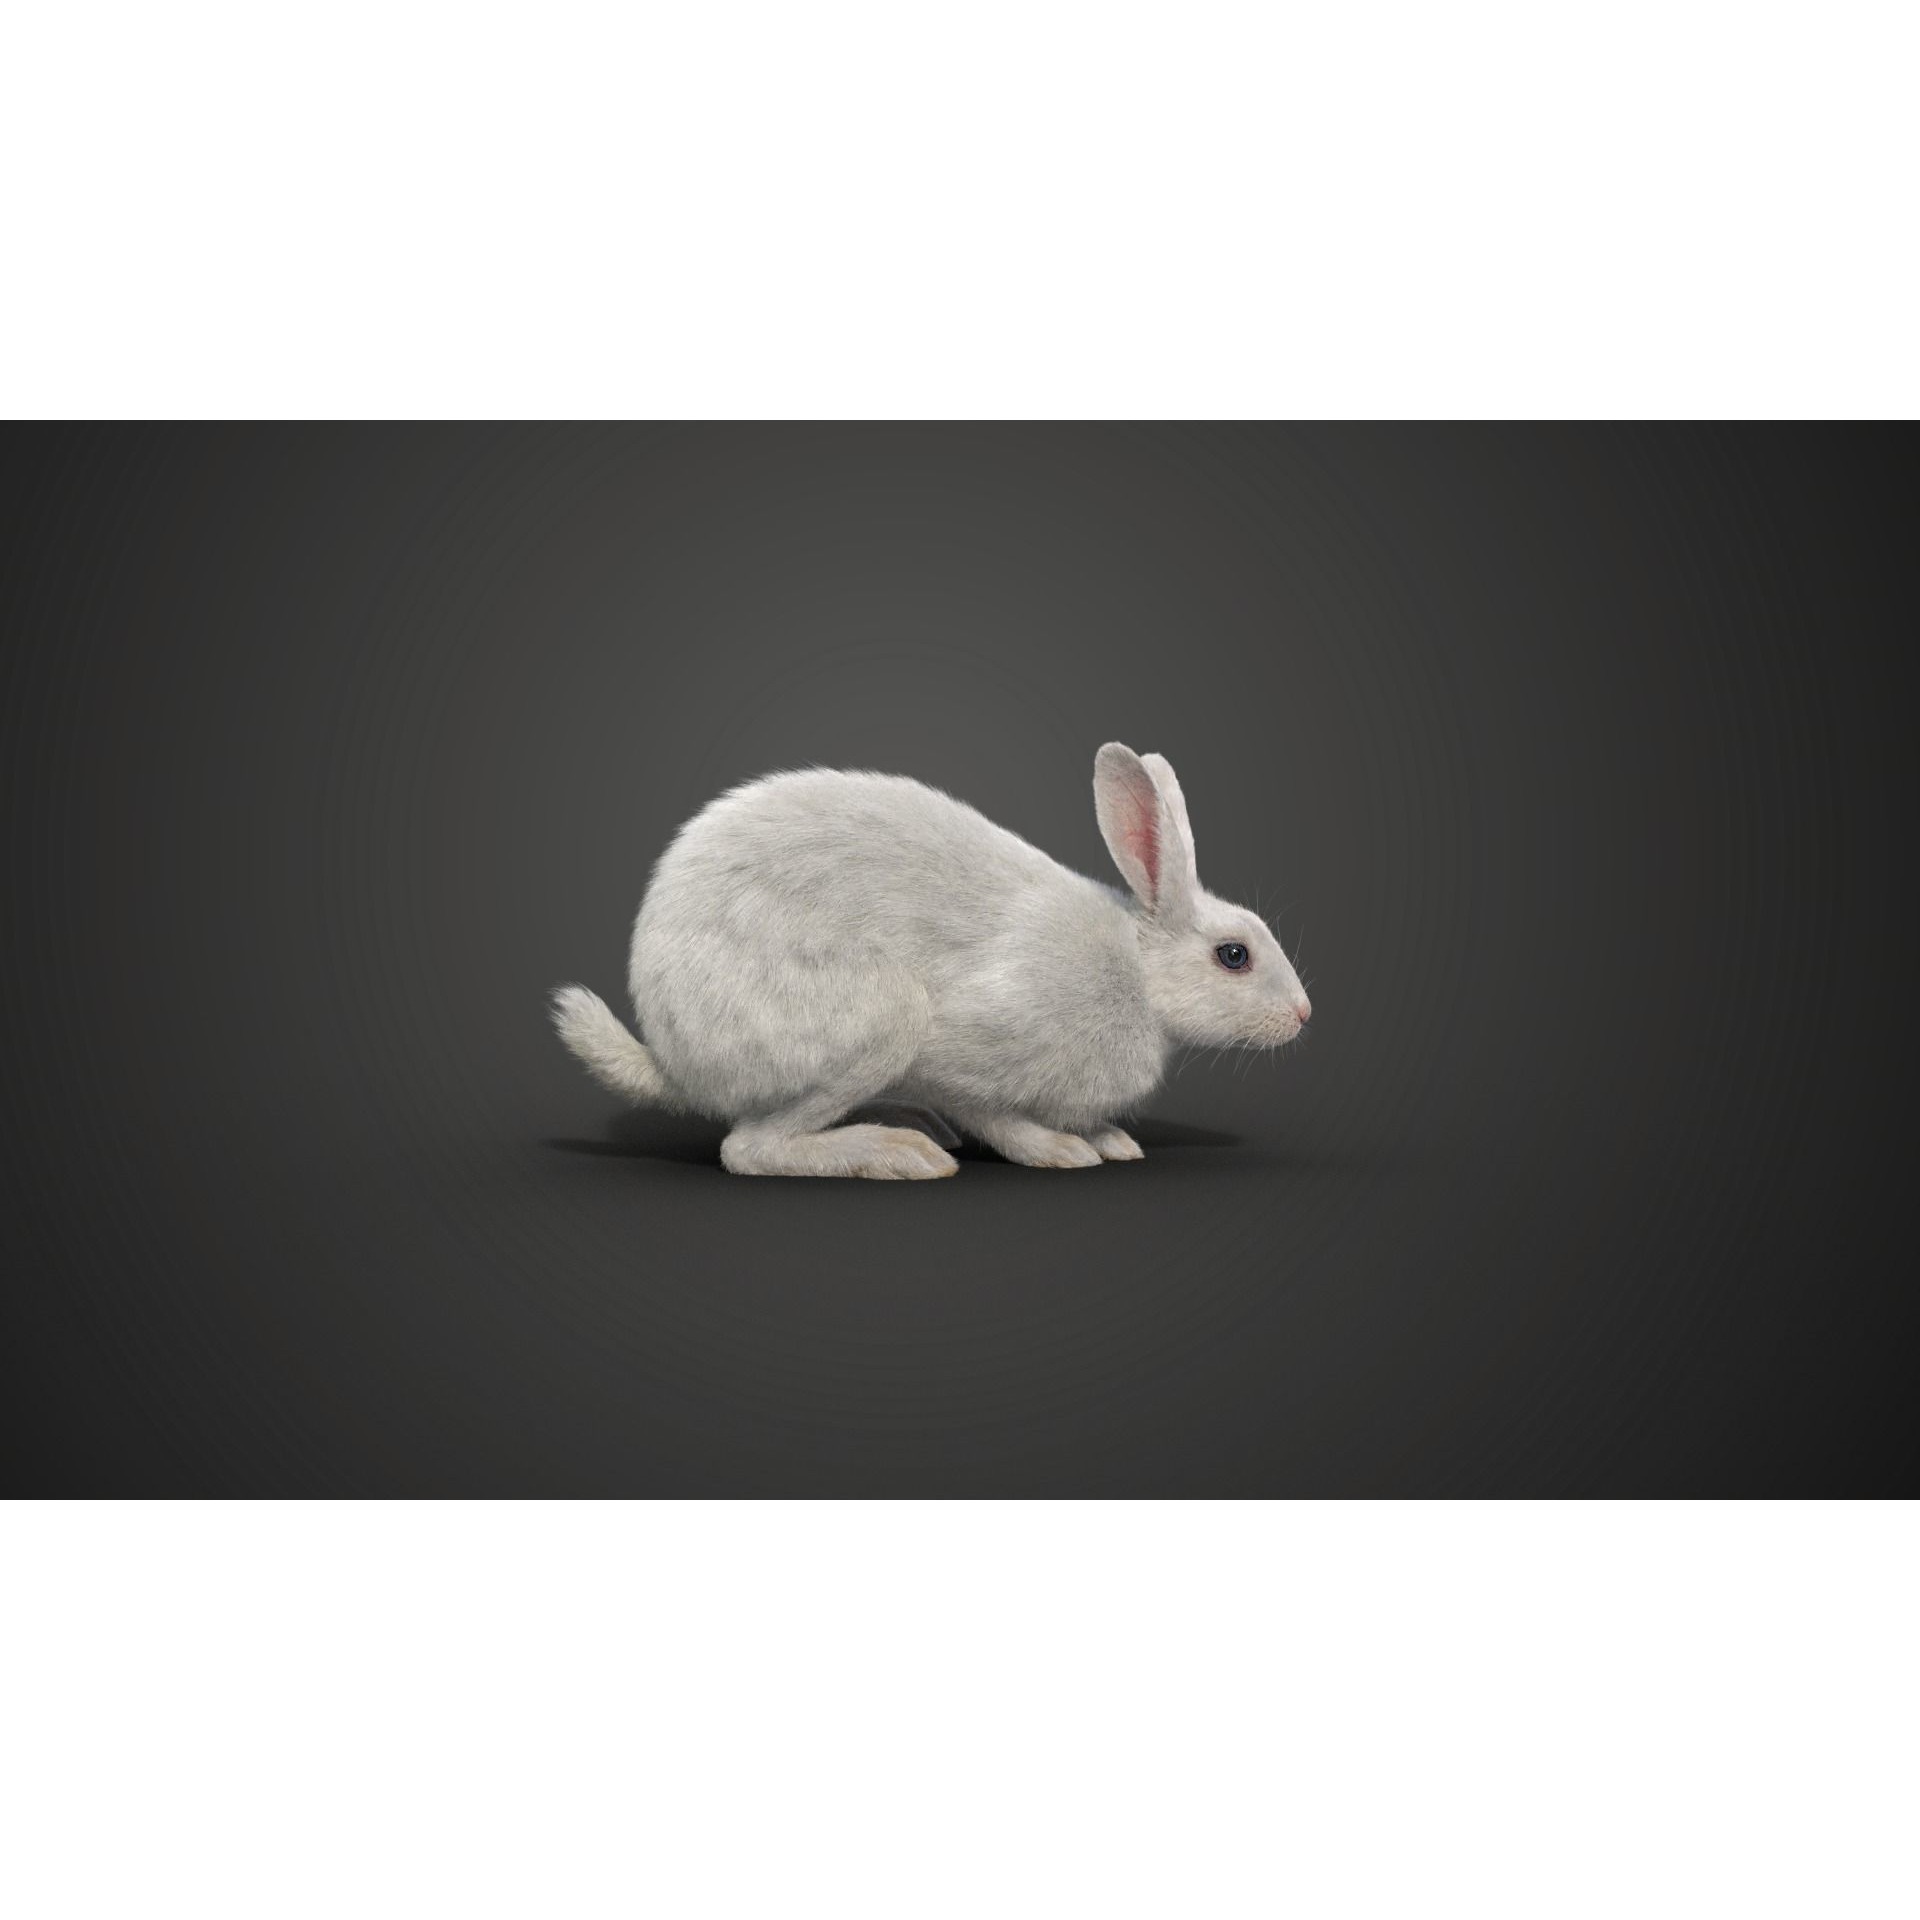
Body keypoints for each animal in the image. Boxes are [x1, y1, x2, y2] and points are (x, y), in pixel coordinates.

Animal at [551, 743, 1311, 1178]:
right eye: (1234, 956)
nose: (1304, 1015)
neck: (1138, 975)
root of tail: (673, 1056)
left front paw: (1113, 1140)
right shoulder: (967, 1056)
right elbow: (999, 1118)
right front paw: (1063, 1151)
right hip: (879, 1021)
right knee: (747, 1148)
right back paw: (899, 1154)